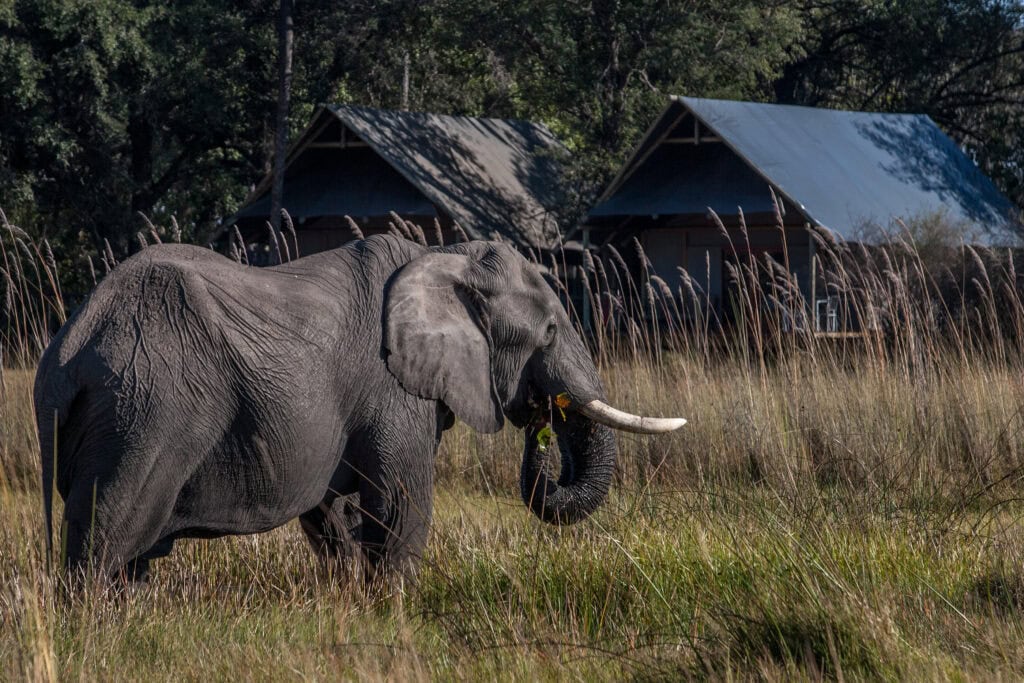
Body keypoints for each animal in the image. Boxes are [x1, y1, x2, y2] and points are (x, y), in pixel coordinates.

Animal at [34, 235, 688, 581]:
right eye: (550, 330)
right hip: (143, 416)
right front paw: (393, 610)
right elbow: (400, 504)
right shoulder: (393, 390)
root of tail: (66, 355)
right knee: (106, 544)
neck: (444, 258)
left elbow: (337, 516)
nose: (540, 423)